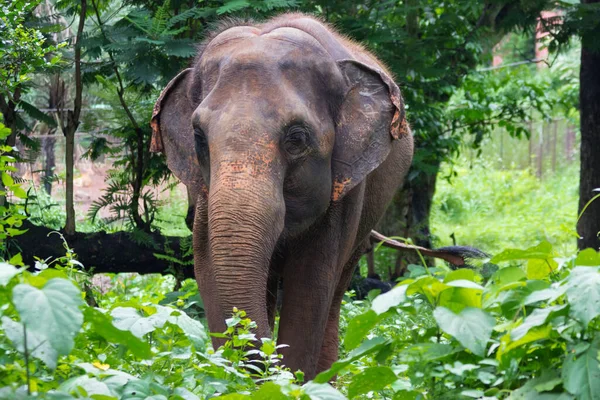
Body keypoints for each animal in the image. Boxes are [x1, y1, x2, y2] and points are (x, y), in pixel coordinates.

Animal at [148, 14, 472, 380]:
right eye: (199, 138)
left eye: (296, 139)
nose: (268, 358)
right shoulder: (201, 194)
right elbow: (207, 271)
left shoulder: (345, 188)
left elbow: (311, 281)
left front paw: (290, 381)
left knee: (336, 291)